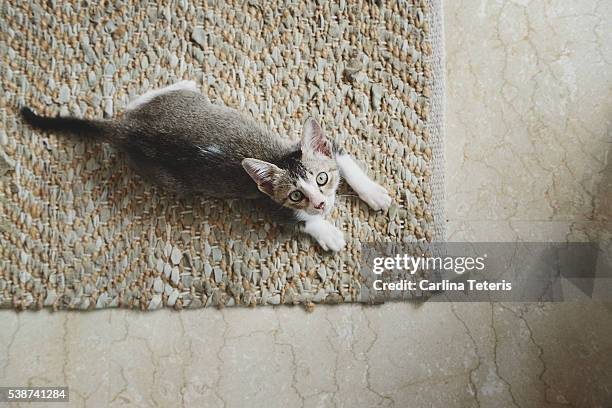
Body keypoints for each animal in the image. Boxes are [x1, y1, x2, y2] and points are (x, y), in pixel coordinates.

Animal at [21, 80, 392, 252]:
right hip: (169, 178)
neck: (278, 156)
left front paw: (373, 193)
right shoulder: (268, 204)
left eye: (322, 178)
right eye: (296, 196)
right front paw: (326, 231)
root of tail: (127, 131)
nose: (321, 203)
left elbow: (346, 162)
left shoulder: (326, 149)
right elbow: (300, 221)